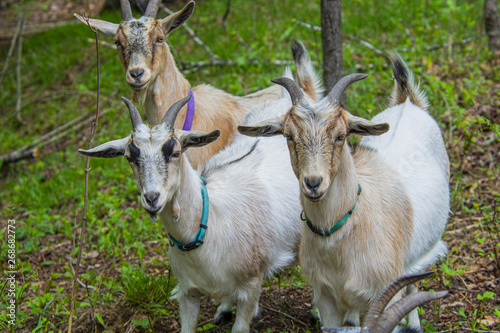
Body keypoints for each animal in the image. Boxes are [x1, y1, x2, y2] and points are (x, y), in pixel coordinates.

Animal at [77, 52, 320, 330]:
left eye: (175, 151)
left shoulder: (251, 286)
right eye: (129, 156)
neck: (208, 220)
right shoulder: (187, 292)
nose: (152, 198)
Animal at [237, 52, 450, 330]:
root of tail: (407, 102)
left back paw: (414, 324)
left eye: (341, 136)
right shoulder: (325, 295)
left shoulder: (387, 295)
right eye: (289, 136)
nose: (313, 183)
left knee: (414, 281)